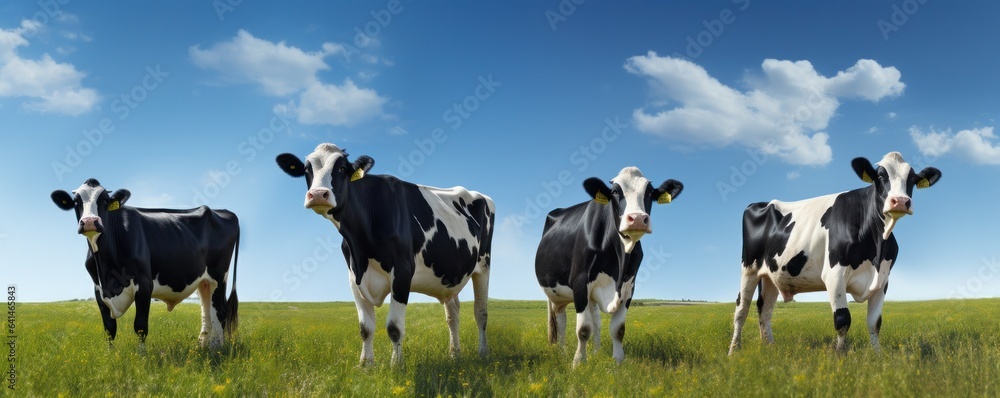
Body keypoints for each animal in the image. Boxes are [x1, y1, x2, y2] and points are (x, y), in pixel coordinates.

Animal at [53, 179, 242, 346]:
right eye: (76, 202)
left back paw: (217, 350)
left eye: (105, 200)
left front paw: (141, 357)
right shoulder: (98, 289)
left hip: (219, 276)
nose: (90, 222)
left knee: (220, 311)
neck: (106, 270)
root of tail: (224, 211)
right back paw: (203, 347)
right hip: (204, 281)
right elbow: (109, 329)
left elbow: (140, 327)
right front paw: (109, 355)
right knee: (206, 311)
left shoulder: (144, 284)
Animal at [276, 145, 494, 366]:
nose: (318, 194)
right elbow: (365, 328)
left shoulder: (403, 271)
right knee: (453, 314)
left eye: (342, 168)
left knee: (481, 312)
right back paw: (454, 354)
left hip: (484, 265)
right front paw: (365, 364)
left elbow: (394, 327)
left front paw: (396, 365)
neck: (360, 245)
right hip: (449, 276)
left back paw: (483, 353)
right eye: (306, 169)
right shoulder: (354, 276)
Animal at [536, 166, 684, 366]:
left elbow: (618, 329)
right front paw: (578, 363)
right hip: (556, 294)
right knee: (561, 320)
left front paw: (618, 361)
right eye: (614, 191)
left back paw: (596, 352)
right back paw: (561, 352)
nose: (638, 219)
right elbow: (583, 329)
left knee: (596, 321)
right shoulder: (580, 283)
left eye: (650, 192)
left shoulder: (629, 287)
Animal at [732, 152, 940, 354]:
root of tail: (760, 203)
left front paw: (878, 356)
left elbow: (875, 323)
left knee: (765, 308)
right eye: (880, 176)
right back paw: (734, 350)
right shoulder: (834, 274)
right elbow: (842, 319)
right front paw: (840, 355)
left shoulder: (882, 280)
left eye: (912, 178)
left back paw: (768, 346)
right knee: (742, 308)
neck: (877, 248)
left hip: (771, 274)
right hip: (749, 268)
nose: (901, 201)